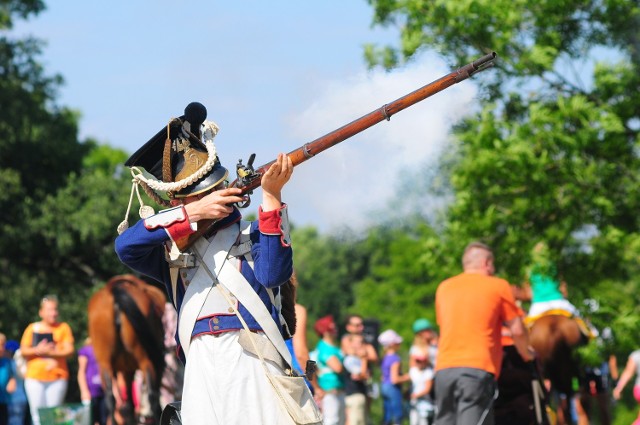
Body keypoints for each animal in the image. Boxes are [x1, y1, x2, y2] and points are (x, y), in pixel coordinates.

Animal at [88, 274, 166, 422]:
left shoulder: (126, 370)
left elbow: (128, 403)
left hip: (105, 364)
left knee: (111, 399)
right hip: (145, 360)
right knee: (152, 396)